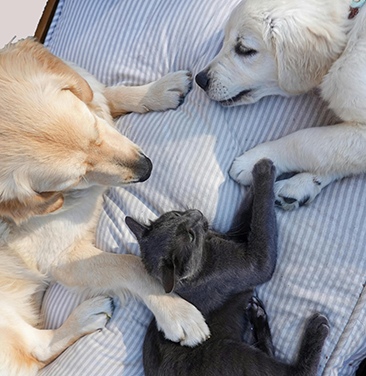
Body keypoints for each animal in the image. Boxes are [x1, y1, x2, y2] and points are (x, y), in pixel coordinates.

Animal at [0, 38, 209, 376]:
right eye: (75, 177)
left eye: (94, 131)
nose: (146, 169)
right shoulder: (62, 258)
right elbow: (127, 264)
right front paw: (177, 311)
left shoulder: (89, 94)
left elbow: (102, 91)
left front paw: (158, 90)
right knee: (37, 349)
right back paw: (87, 316)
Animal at [197, 0, 366, 209]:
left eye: (244, 49)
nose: (200, 80)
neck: (351, 25)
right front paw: (302, 184)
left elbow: (306, 141)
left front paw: (254, 161)